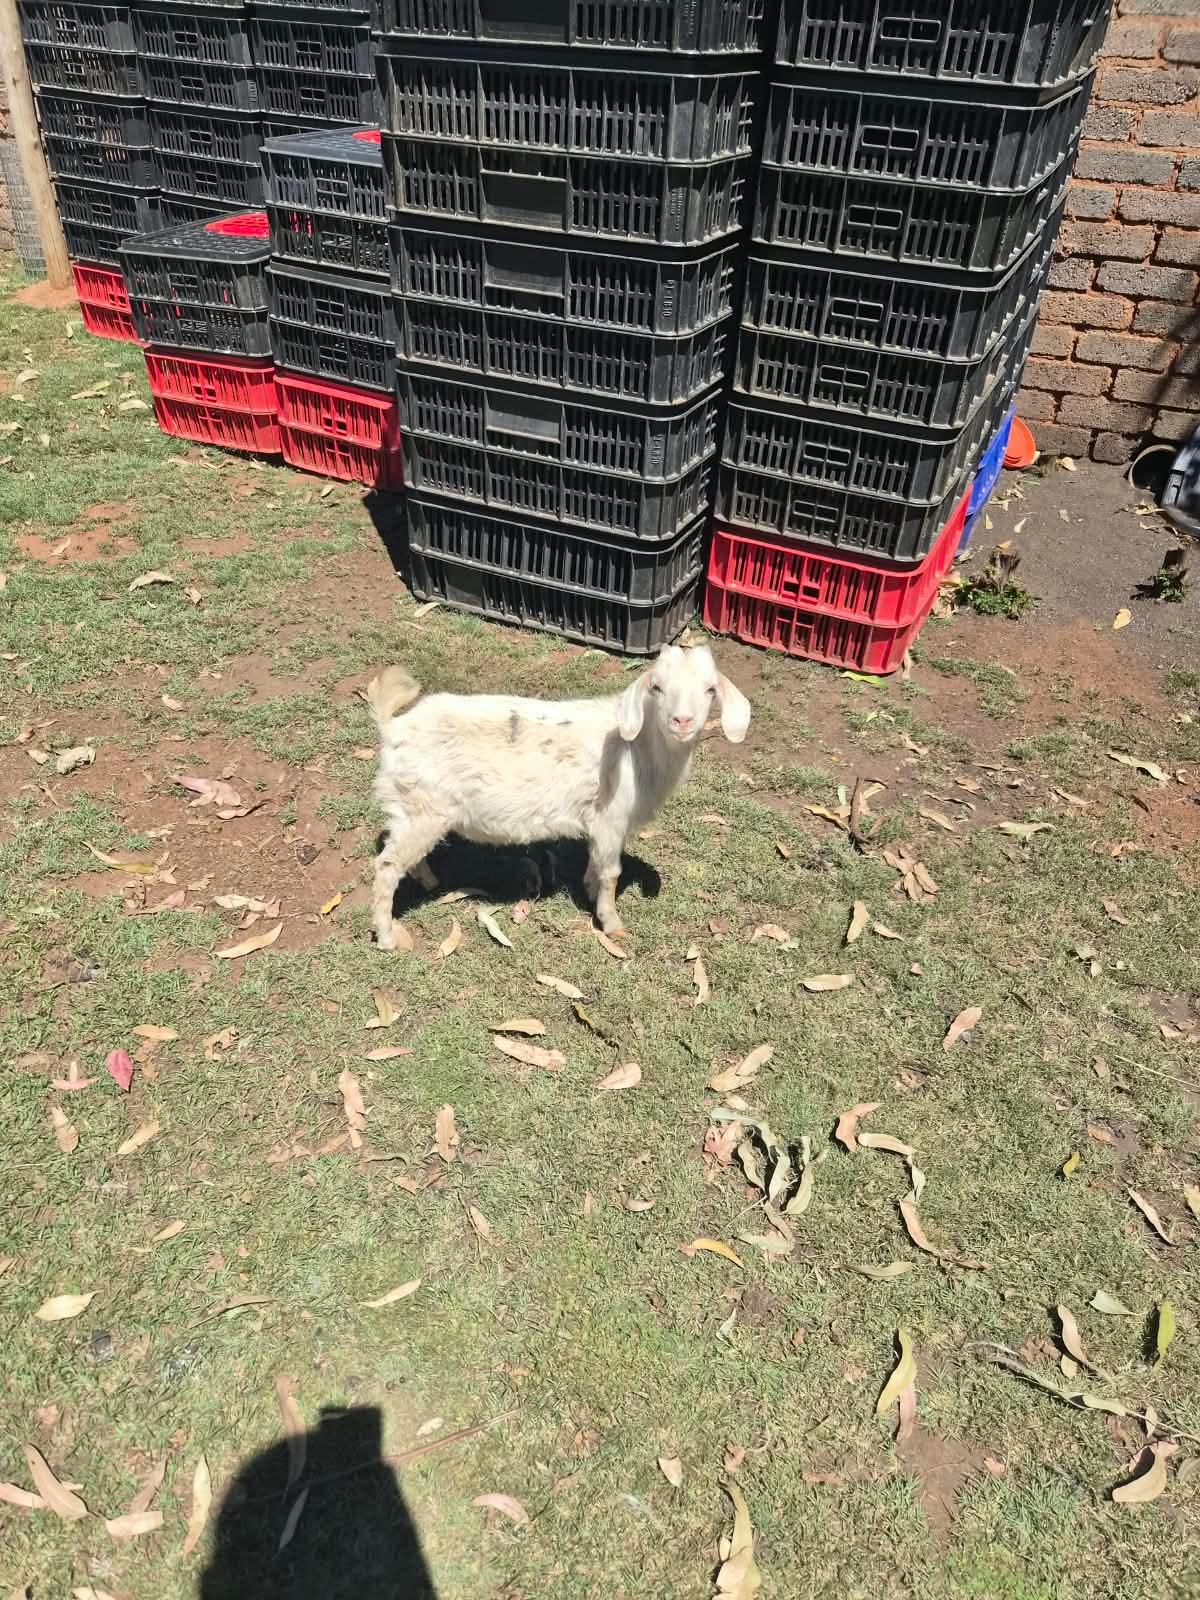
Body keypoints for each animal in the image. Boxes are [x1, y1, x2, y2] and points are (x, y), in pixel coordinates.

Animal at [366, 644, 751, 947]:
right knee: (386, 866)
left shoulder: (601, 823)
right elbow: (612, 872)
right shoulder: (611, 817)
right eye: (656, 687)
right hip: (423, 808)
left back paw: (429, 881)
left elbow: (596, 863)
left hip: (414, 811)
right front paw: (612, 924)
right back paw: (387, 937)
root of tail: (393, 727)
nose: (682, 721)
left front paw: (590, 890)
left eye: (709, 689)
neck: (639, 749)